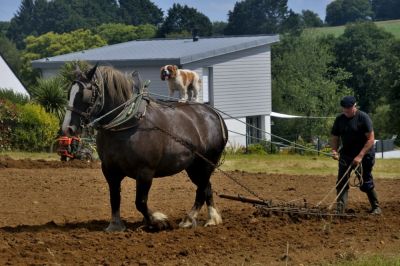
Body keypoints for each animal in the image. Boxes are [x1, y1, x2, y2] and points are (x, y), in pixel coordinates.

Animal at [60, 64, 227, 231]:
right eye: (69, 92)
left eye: (85, 94)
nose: (67, 128)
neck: (127, 123)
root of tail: (214, 114)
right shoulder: (109, 169)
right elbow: (114, 197)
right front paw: (115, 225)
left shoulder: (145, 171)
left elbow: (140, 202)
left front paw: (158, 221)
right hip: (193, 166)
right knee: (206, 187)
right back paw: (205, 218)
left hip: (206, 164)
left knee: (202, 188)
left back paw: (196, 218)